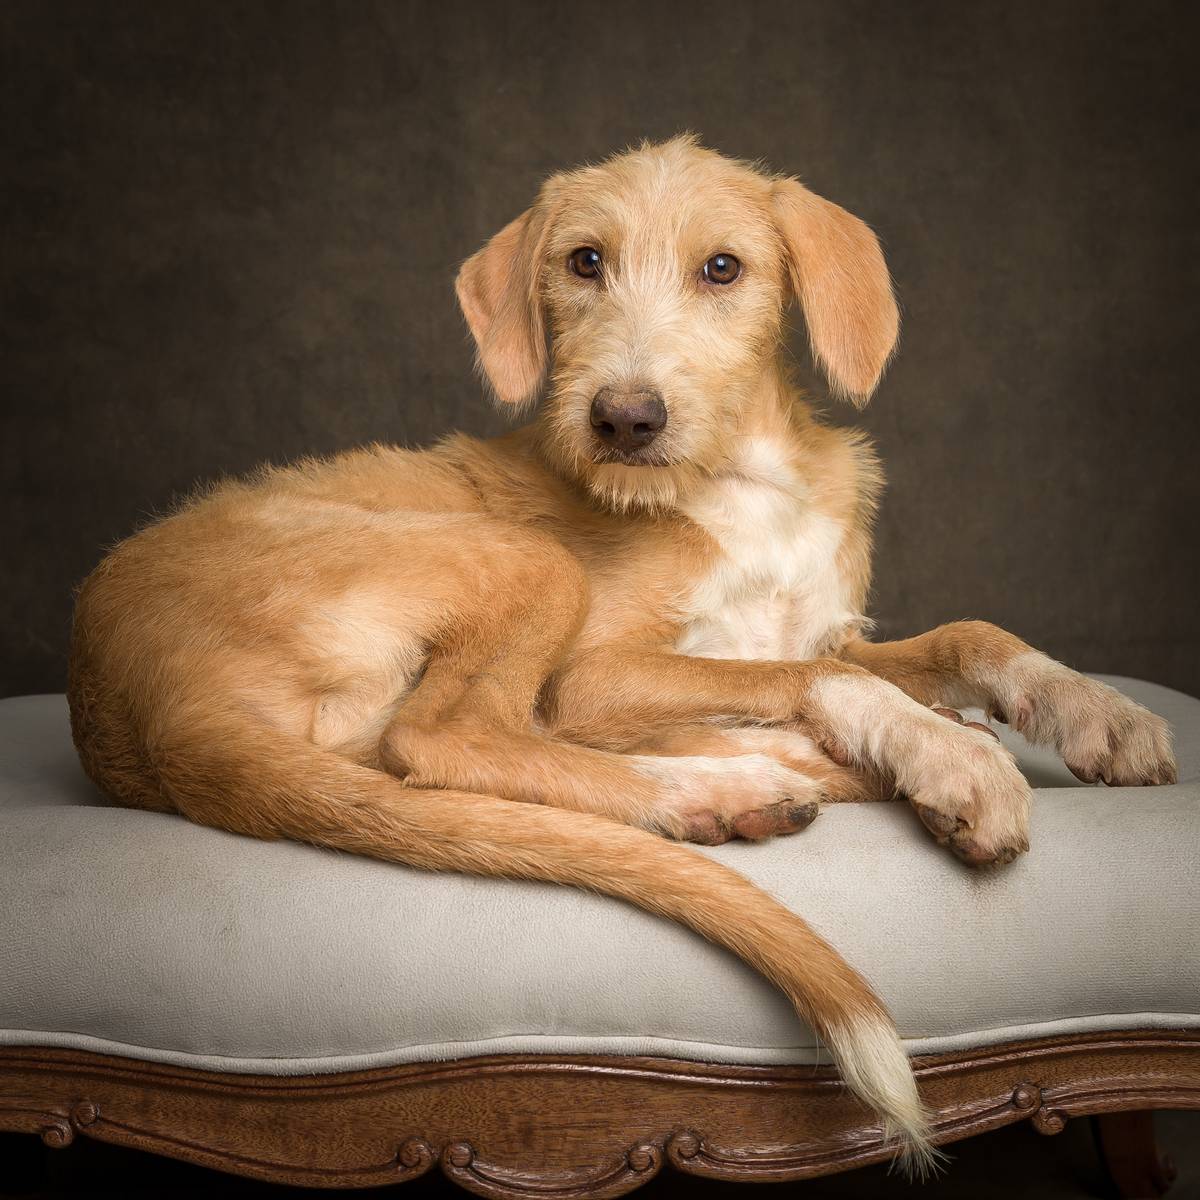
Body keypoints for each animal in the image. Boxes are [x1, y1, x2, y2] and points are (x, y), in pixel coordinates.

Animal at [67, 136, 1176, 1168]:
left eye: (723, 269)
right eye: (584, 262)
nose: (623, 418)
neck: (740, 484)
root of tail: (130, 691)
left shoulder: (820, 626)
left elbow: (956, 634)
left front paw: (1097, 712)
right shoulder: (593, 677)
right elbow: (815, 675)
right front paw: (943, 756)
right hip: (521, 566)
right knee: (445, 744)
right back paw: (741, 785)